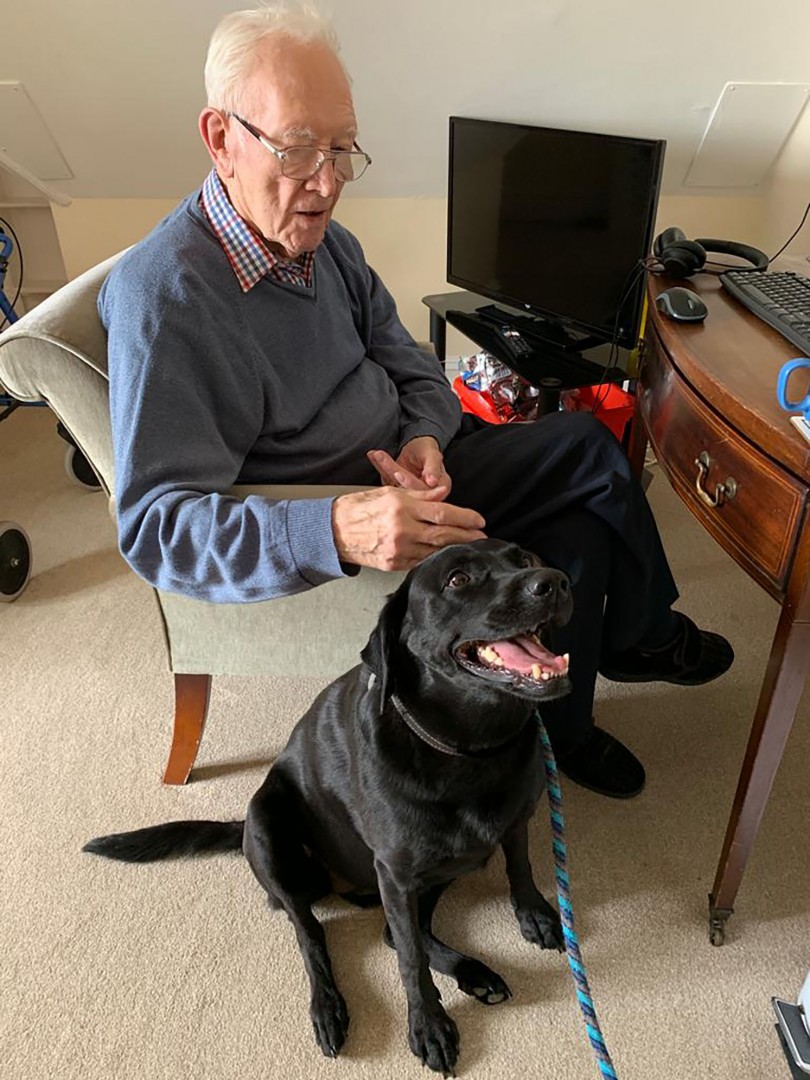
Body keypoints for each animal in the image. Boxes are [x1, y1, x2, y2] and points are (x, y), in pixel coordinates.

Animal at [84, 538, 573, 1076]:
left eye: (524, 560)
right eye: (458, 580)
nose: (554, 581)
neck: (469, 749)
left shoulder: (513, 821)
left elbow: (519, 866)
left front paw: (534, 914)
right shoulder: (396, 873)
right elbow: (409, 961)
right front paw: (428, 1026)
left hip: (435, 871)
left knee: (393, 932)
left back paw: (473, 971)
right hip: (270, 830)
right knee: (316, 935)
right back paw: (329, 1008)